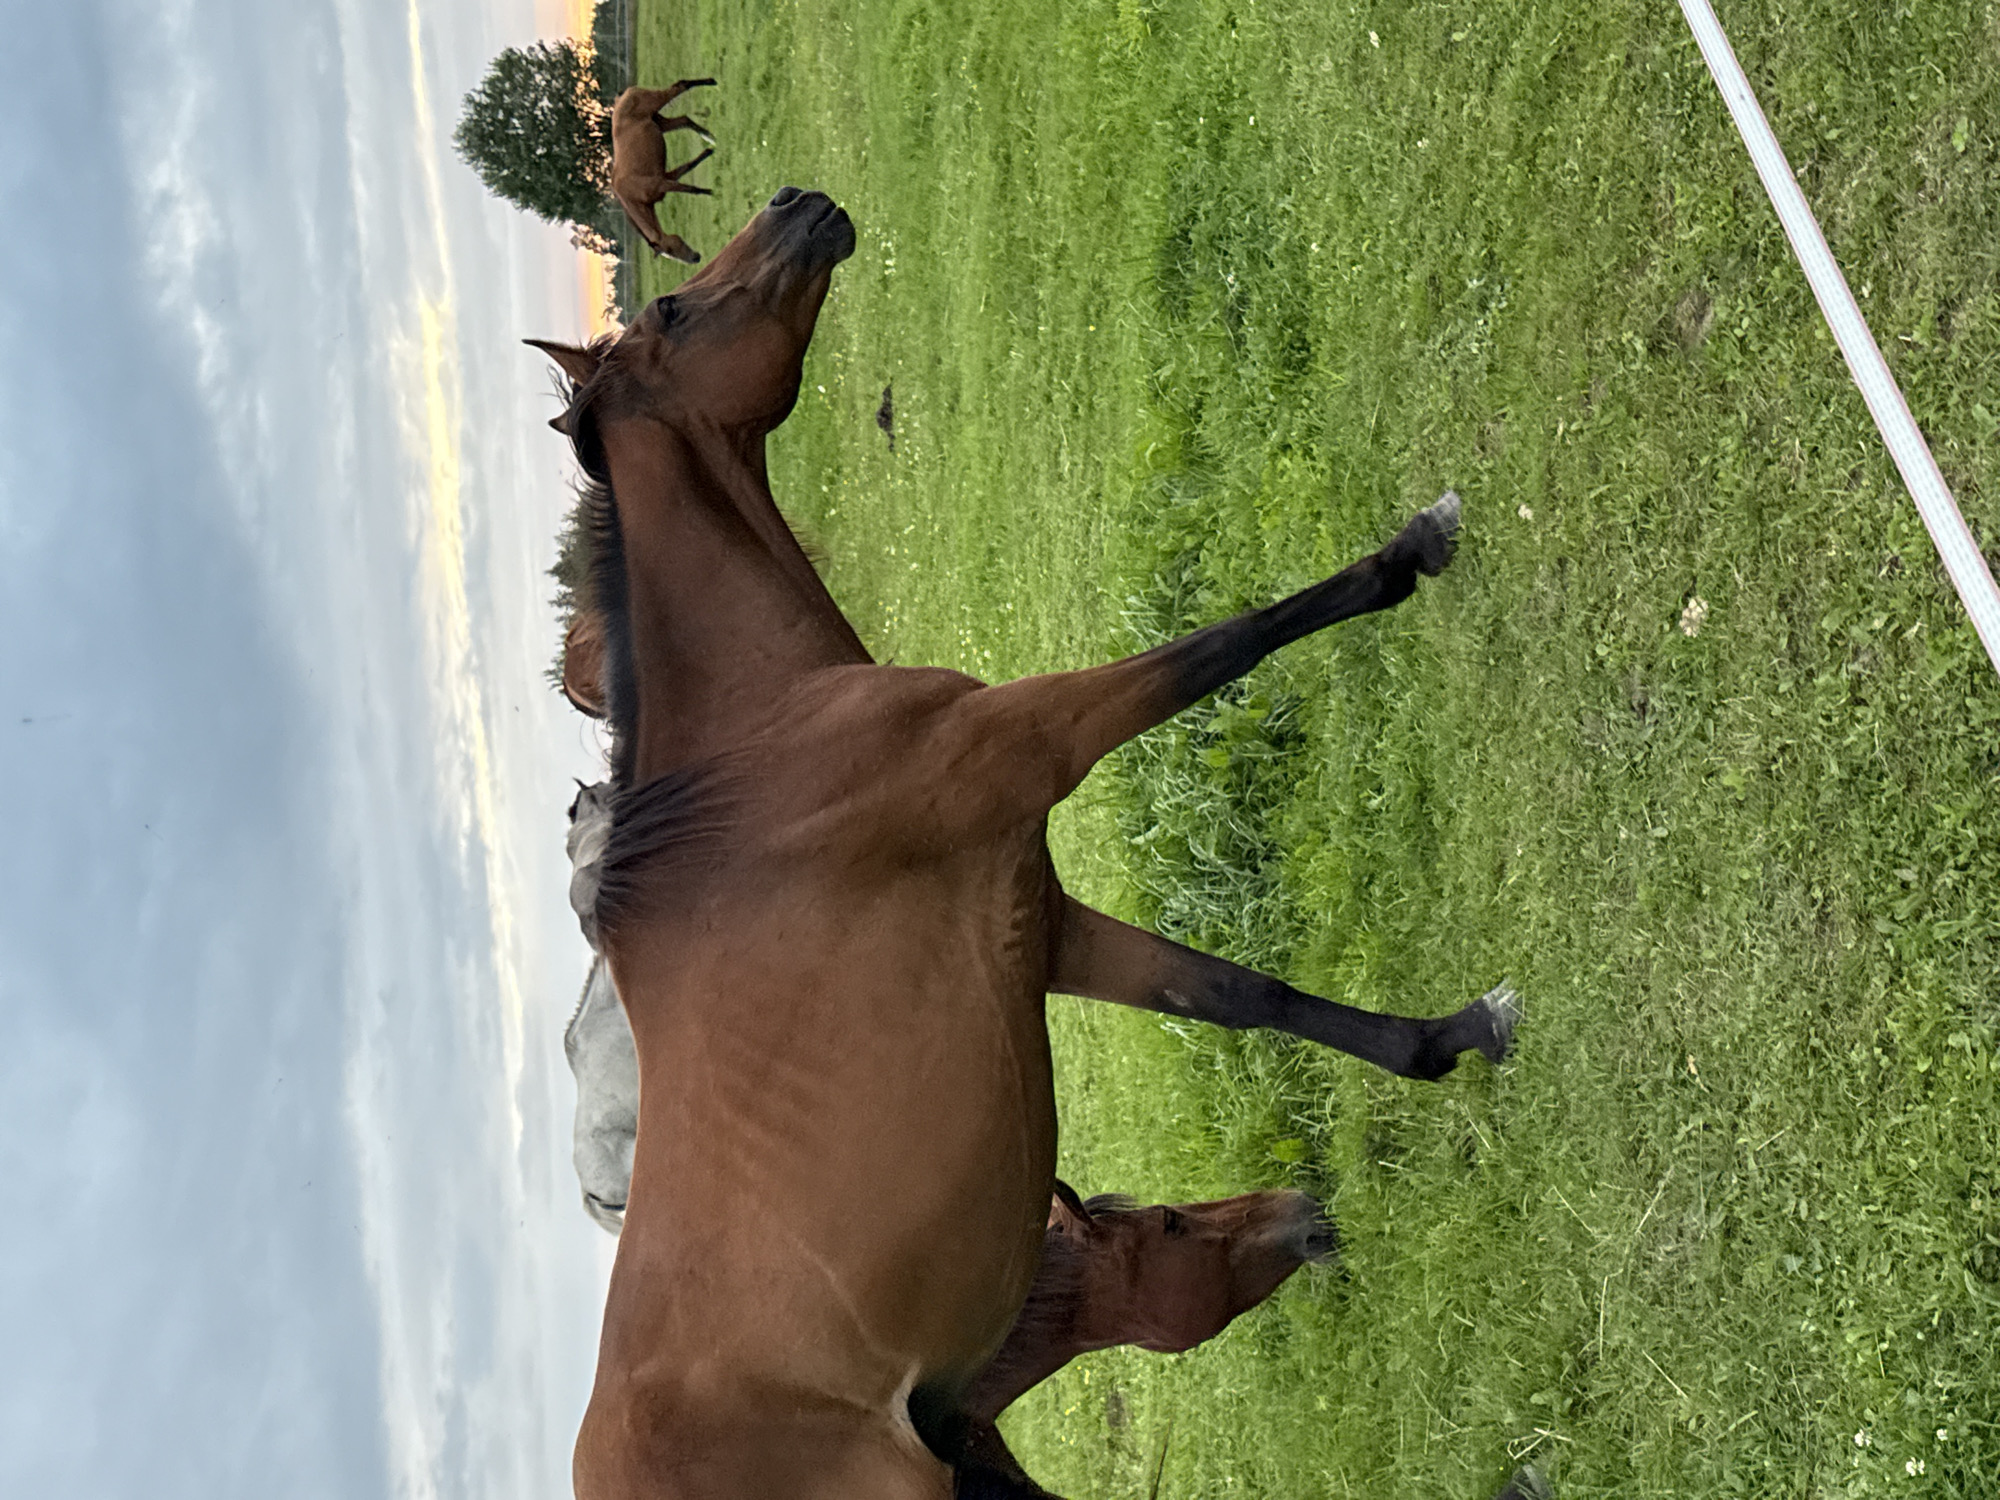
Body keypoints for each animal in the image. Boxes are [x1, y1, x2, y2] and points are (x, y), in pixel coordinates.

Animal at [527, 185, 1520, 1500]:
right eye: (680, 311)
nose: (801, 204)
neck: (764, 754)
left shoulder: (1045, 929)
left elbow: (1245, 998)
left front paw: (1451, 1037)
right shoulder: (1038, 738)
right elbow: (1226, 643)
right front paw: (1411, 547)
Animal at [609, 81, 717, 265]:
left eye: (670, 249)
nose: (695, 258)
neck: (633, 195)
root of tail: (622, 96)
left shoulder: (662, 183)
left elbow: (691, 189)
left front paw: (711, 192)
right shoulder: (668, 177)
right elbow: (689, 166)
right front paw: (708, 152)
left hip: (657, 102)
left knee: (680, 86)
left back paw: (711, 82)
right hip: (661, 123)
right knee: (684, 119)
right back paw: (708, 136)